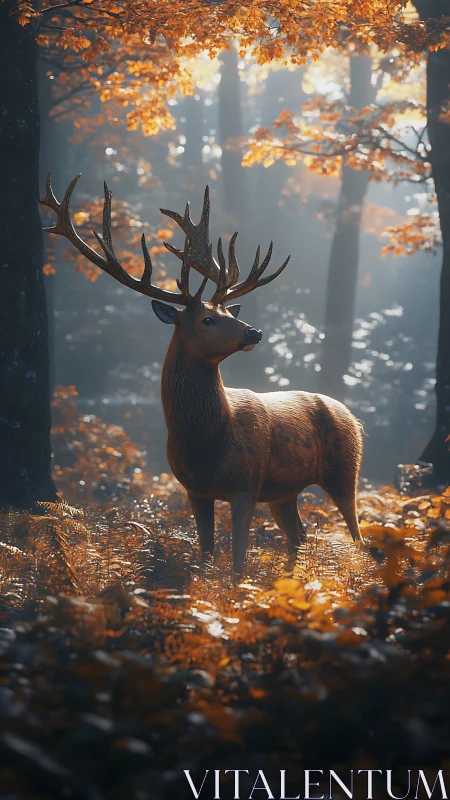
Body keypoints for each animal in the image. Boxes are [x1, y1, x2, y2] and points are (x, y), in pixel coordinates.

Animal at [41, 174, 364, 573]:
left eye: (228, 313)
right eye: (208, 319)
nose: (254, 332)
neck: (204, 443)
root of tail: (353, 416)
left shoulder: (246, 482)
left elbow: (238, 560)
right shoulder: (194, 489)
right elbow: (205, 554)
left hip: (346, 467)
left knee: (356, 534)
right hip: (283, 491)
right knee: (298, 538)